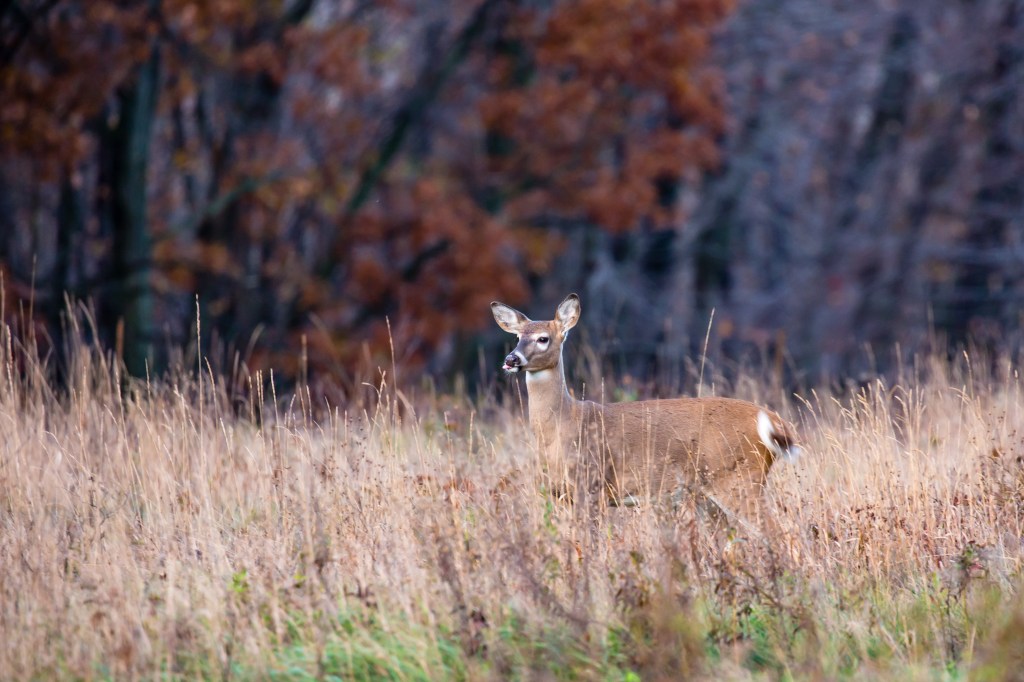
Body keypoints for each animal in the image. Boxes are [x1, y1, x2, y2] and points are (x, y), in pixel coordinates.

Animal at [491, 290, 802, 532]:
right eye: (517, 337)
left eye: (543, 338)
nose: (510, 359)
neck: (563, 425)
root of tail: (775, 420)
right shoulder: (562, 494)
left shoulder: (592, 485)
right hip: (712, 494)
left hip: (740, 479)